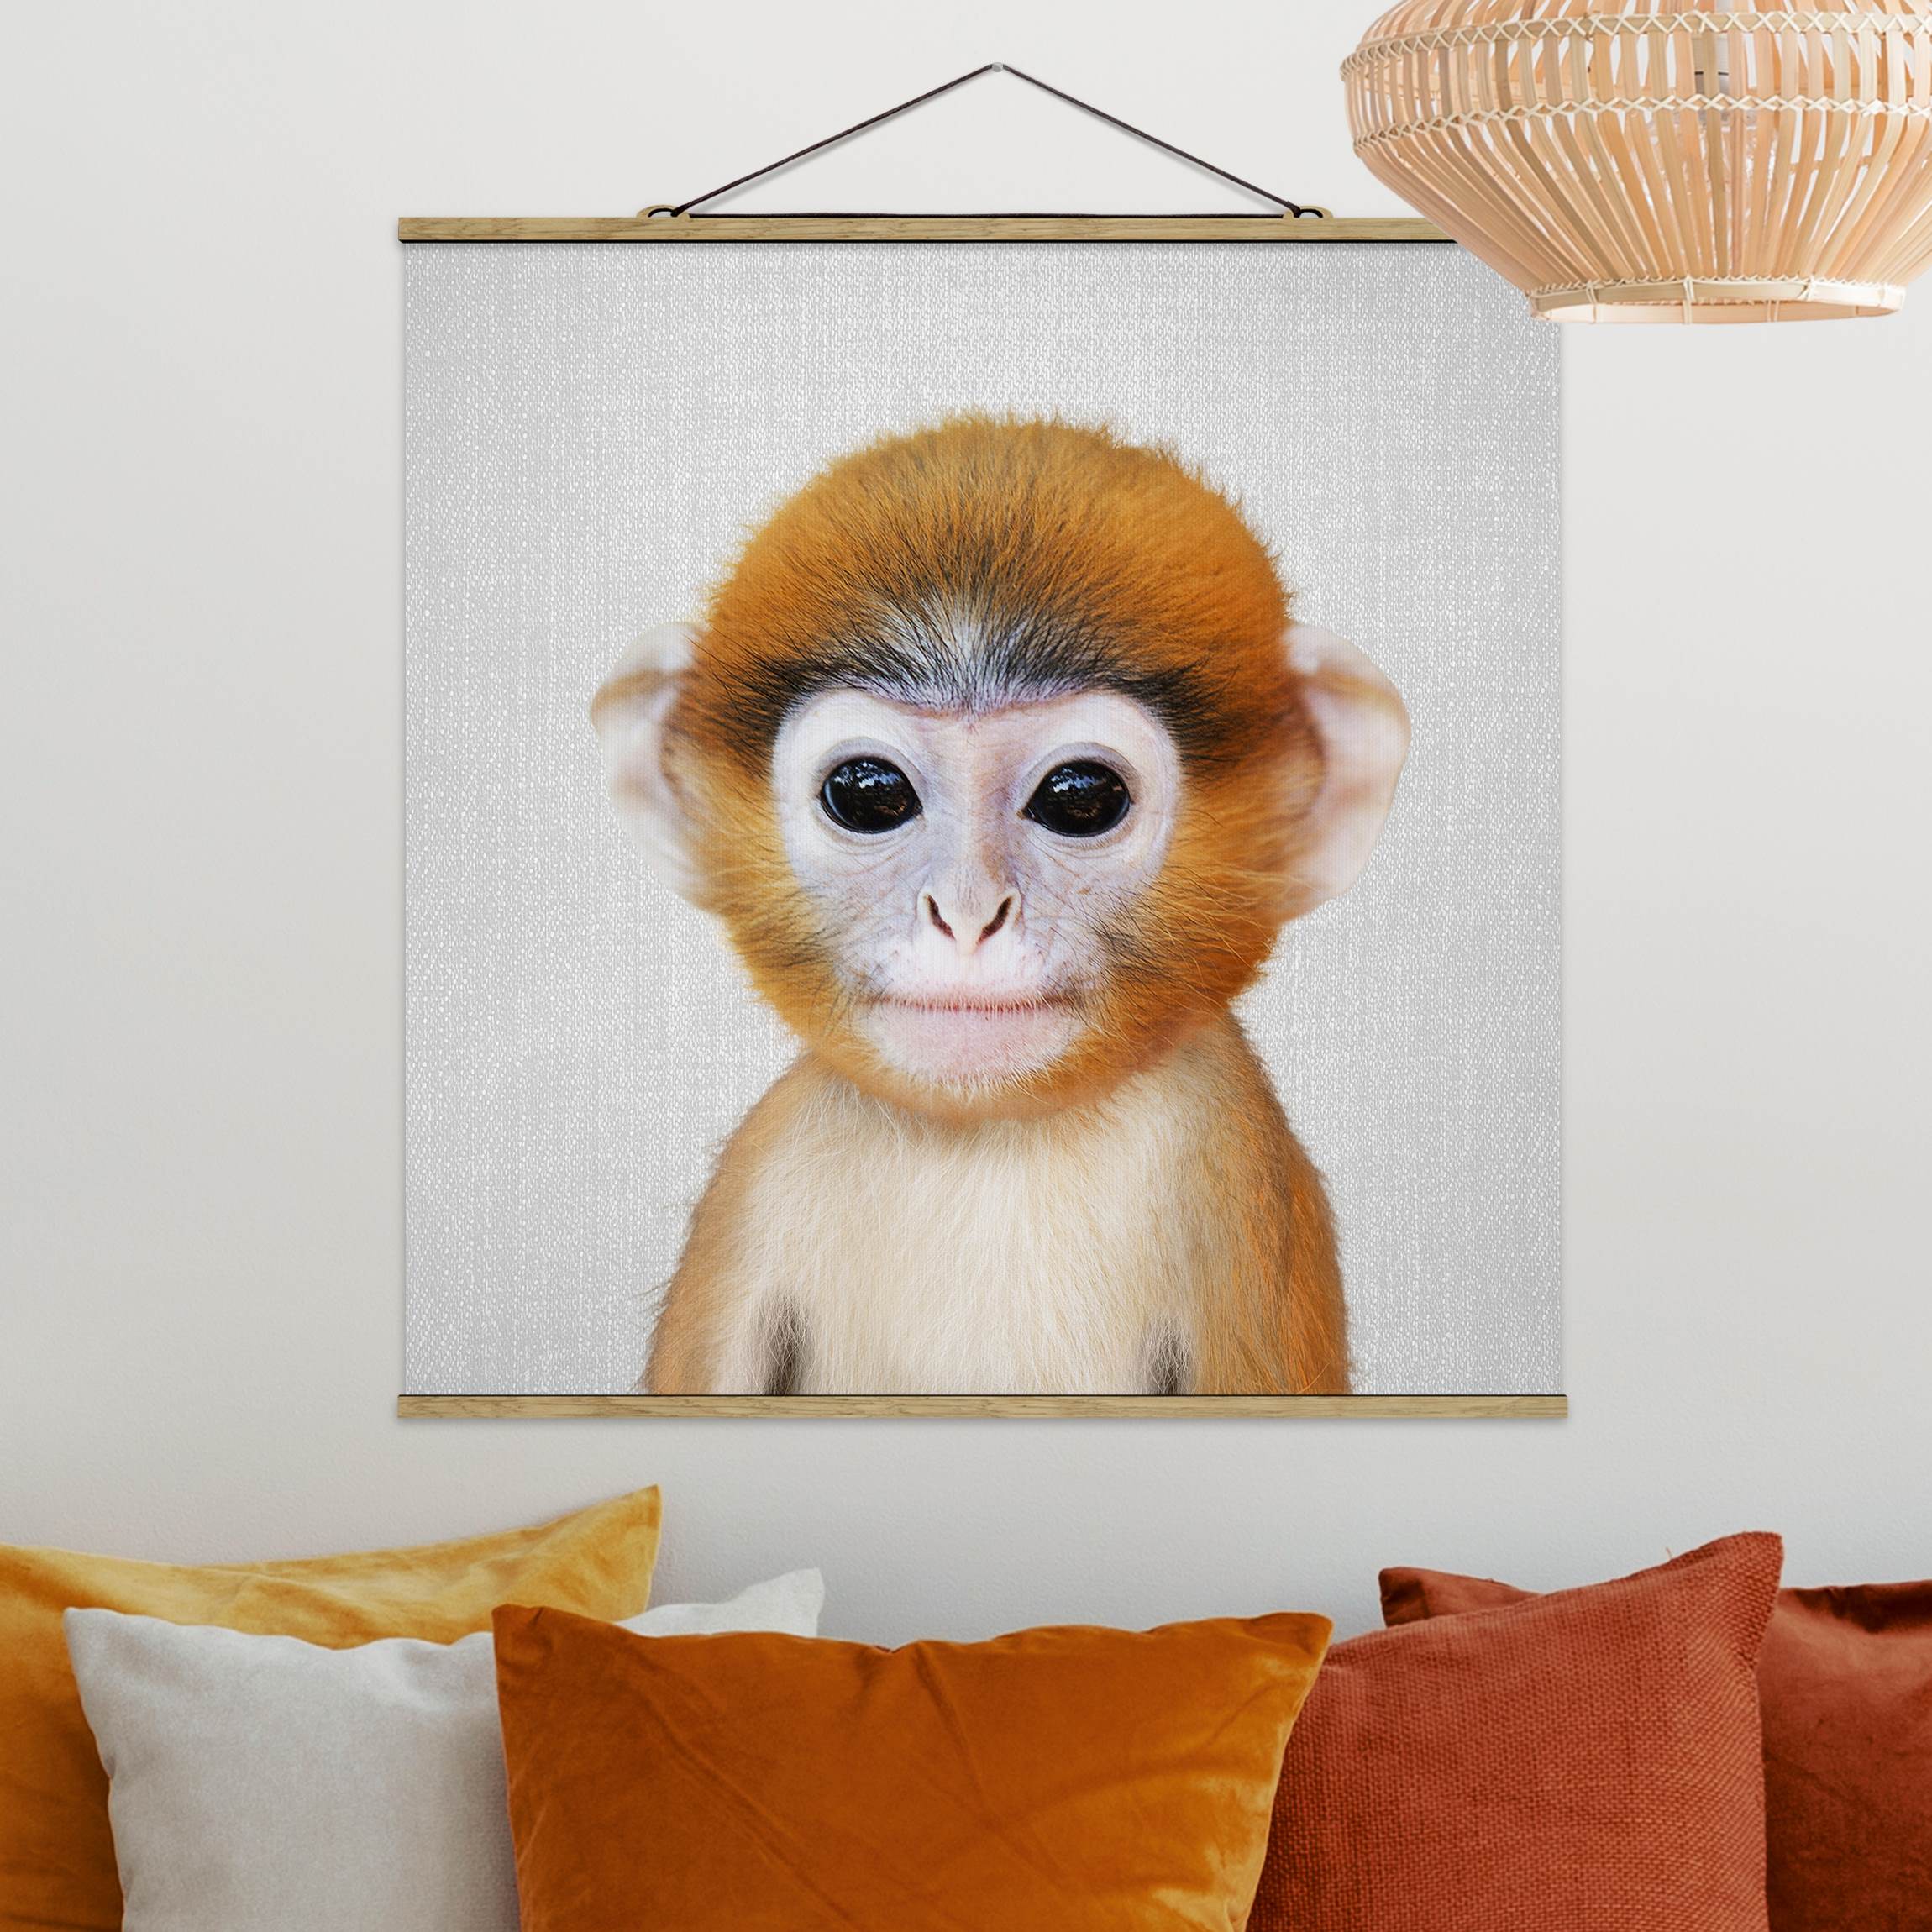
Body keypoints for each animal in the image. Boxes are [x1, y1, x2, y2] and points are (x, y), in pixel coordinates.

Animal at [592, 416, 1409, 1396]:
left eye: (1081, 798)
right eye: (867, 793)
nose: (968, 914)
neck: (989, 1141)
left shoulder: (1233, 1175)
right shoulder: (753, 1189)